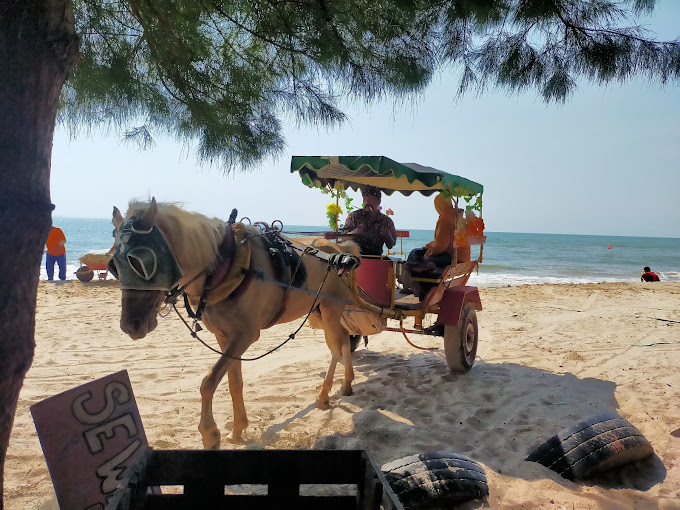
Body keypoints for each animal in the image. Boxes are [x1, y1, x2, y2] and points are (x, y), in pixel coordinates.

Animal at [111, 197, 362, 448]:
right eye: (114, 265)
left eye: (141, 262)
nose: (131, 325)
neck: (224, 267)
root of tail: (339, 251)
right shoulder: (224, 336)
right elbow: (234, 382)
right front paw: (238, 429)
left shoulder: (246, 335)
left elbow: (209, 382)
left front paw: (210, 434)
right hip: (317, 310)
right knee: (342, 340)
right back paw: (346, 383)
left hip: (330, 309)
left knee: (337, 346)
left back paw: (325, 394)